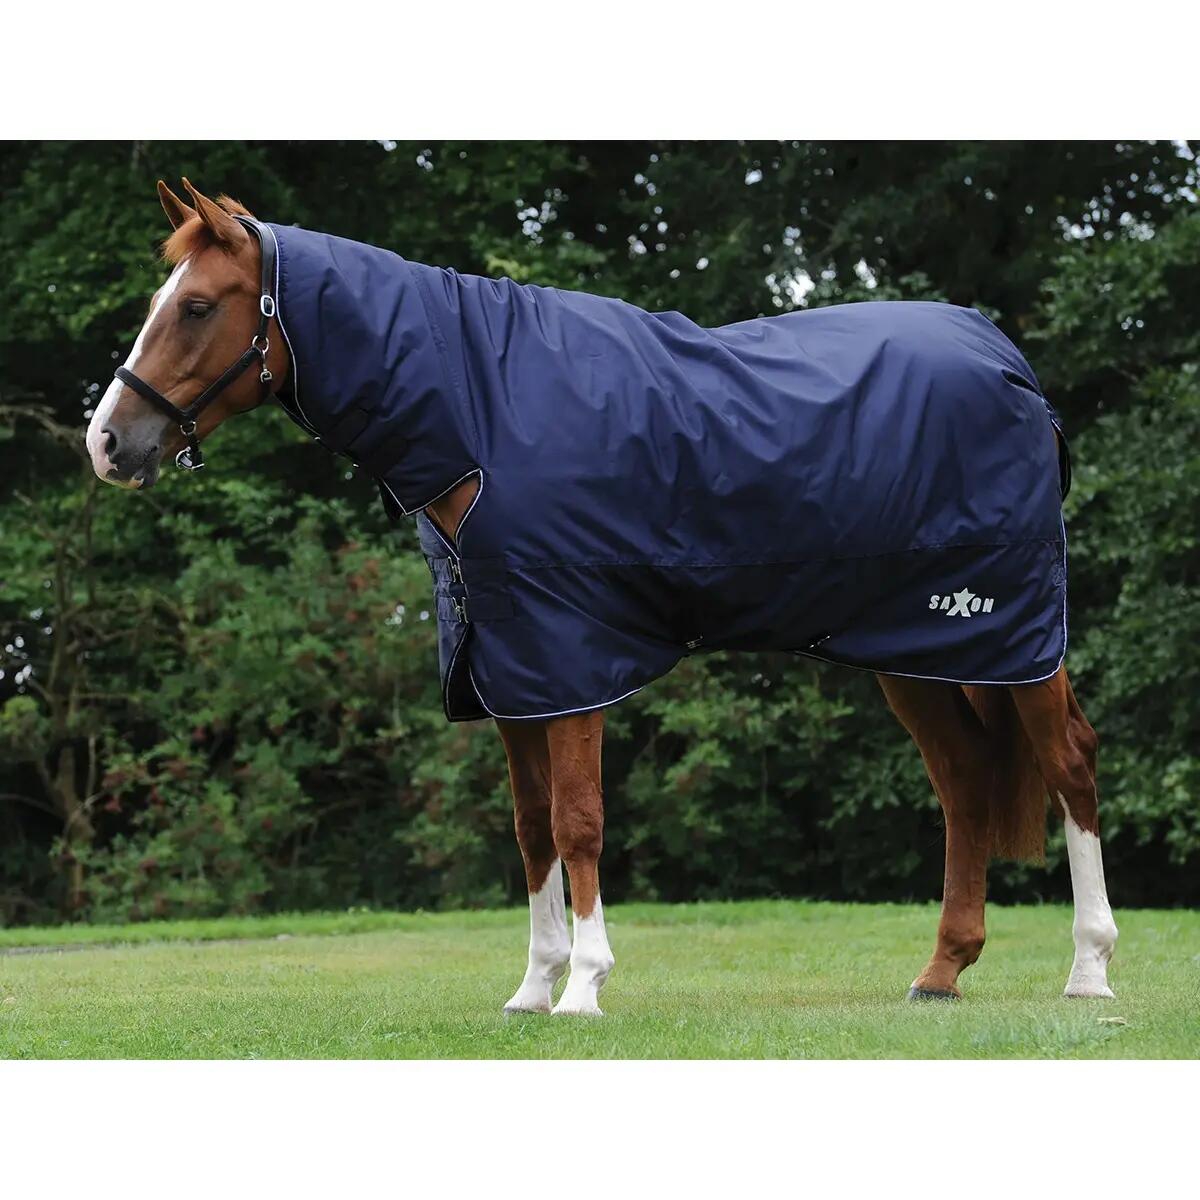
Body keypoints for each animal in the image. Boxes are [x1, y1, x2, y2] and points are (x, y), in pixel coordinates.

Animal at [84, 179, 1118, 1016]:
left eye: (197, 306)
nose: (107, 443)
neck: (481, 412)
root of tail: (1008, 361)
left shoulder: (569, 656)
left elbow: (578, 820)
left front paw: (584, 985)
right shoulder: (506, 670)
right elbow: (531, 828)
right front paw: (532, 987)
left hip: (1014, 635)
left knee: (1069, 763)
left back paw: (1089, 971)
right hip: (915, 651)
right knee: (965, 785)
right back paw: (942, 973)